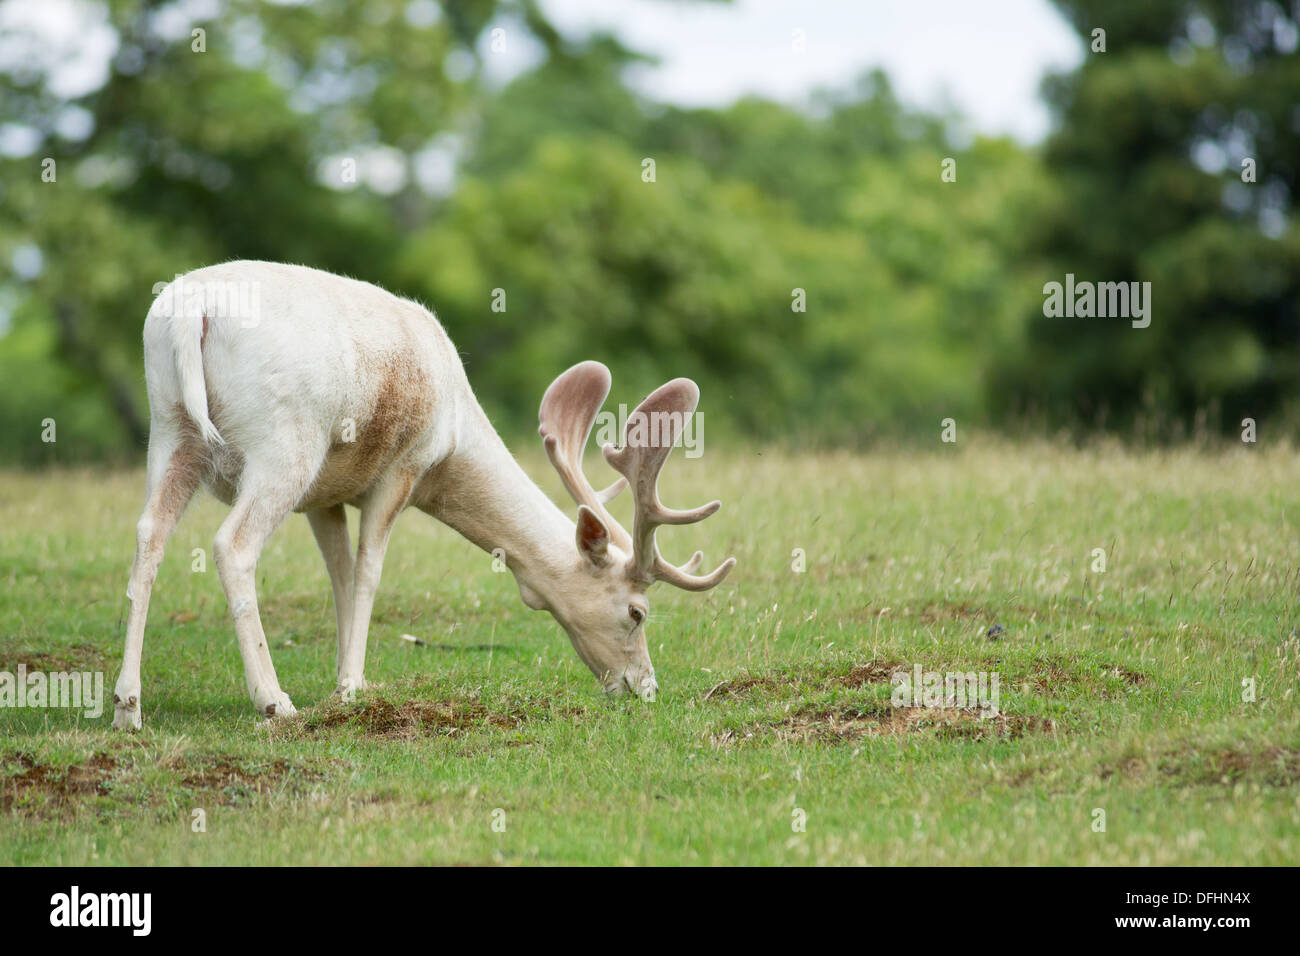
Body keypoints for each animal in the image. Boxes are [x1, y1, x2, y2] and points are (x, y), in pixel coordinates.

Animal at [110, 257, 733, 728]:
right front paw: (351, 687)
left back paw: (127, 706)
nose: (645, 687)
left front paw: (346, 679)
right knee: (232, 544)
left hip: (169, 431)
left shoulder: (325, 493)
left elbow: (339, 575)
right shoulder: (403, 468)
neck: (454, 442)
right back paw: (273, 701)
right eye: (637, 613)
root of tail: (192, 313)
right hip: (286, 444)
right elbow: (367, 572)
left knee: (148, 535)